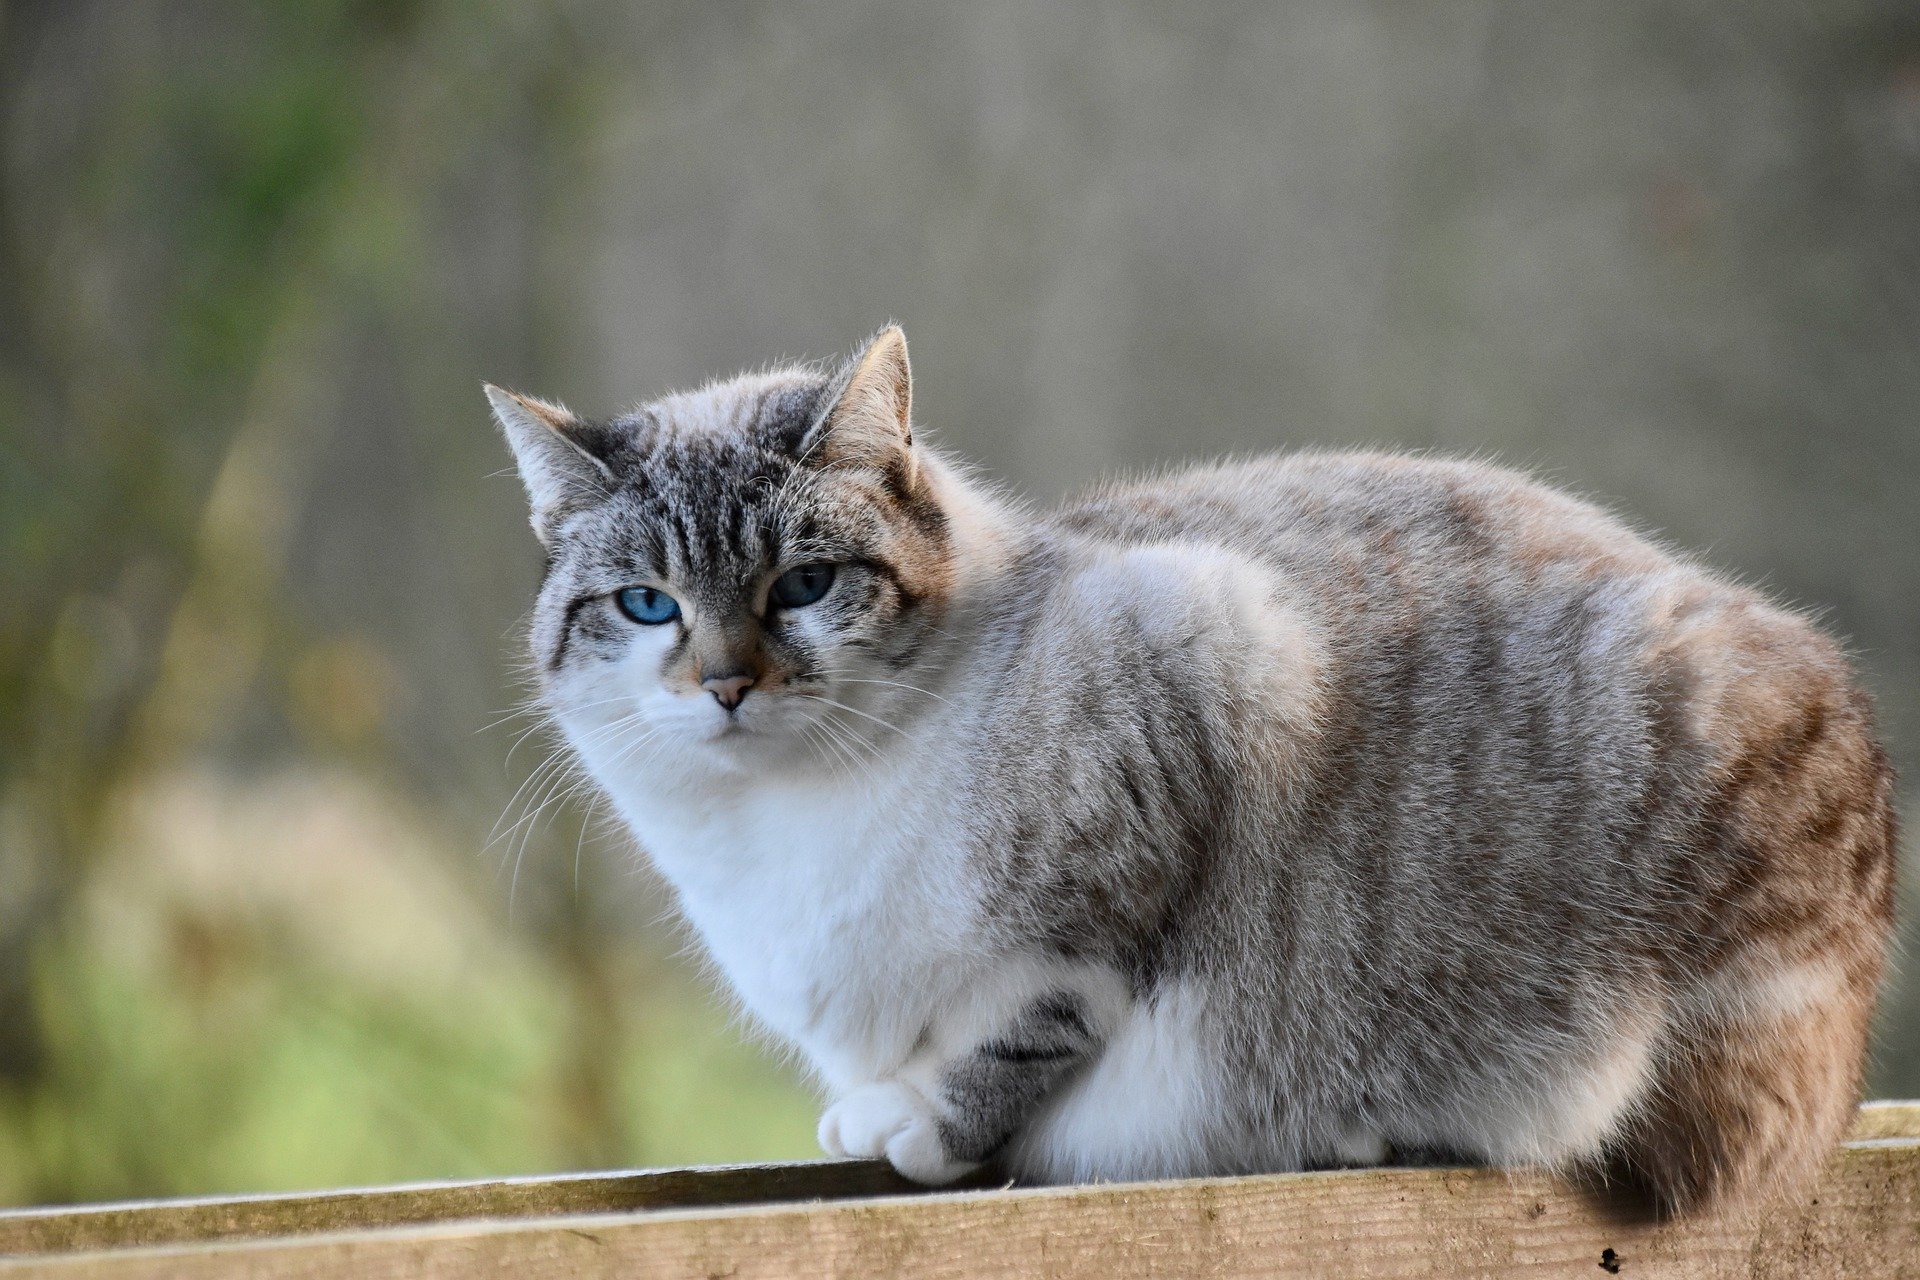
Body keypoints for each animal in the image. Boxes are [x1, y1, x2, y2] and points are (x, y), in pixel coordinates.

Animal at [487, 328, 1896, 1212]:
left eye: (804, 584)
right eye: (648, 602)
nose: (726, 684)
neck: (778, 829)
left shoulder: (1205, 682)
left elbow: (1021, 1033)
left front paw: (925, 1127)